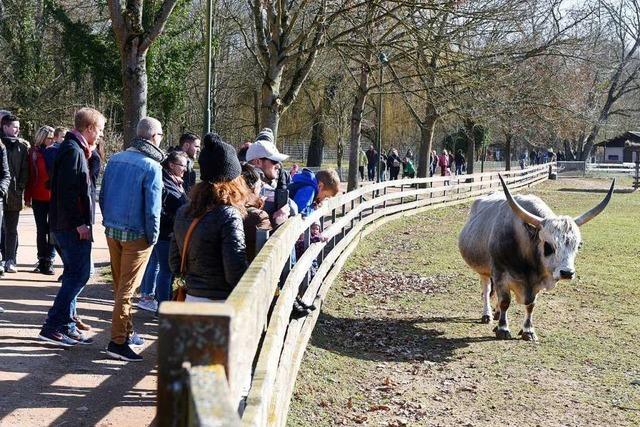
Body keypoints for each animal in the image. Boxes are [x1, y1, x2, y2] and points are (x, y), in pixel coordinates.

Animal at [458, 176, 612, 342]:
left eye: (578, 245)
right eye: (548, 245)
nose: (567, 273)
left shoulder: (536, 283)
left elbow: (531, 305)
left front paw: (528, 330)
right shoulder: (500, 275)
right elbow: (505, 301)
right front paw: (503, 328)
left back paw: (497, 313)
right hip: (484, 270)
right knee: (486, 290)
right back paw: (487, 315)